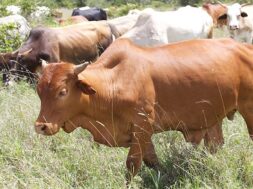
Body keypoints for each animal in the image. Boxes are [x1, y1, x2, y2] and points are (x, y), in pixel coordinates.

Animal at [34, 38, 253, 182]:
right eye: (39, 91)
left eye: (62, 91)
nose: (40, 126)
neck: (114, 81)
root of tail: (244, 47)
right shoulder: (140, 133)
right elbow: (151, 160)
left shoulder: (142, 125)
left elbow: (132, 164)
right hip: (213, 116)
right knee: (214, 145)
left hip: (248, 109)